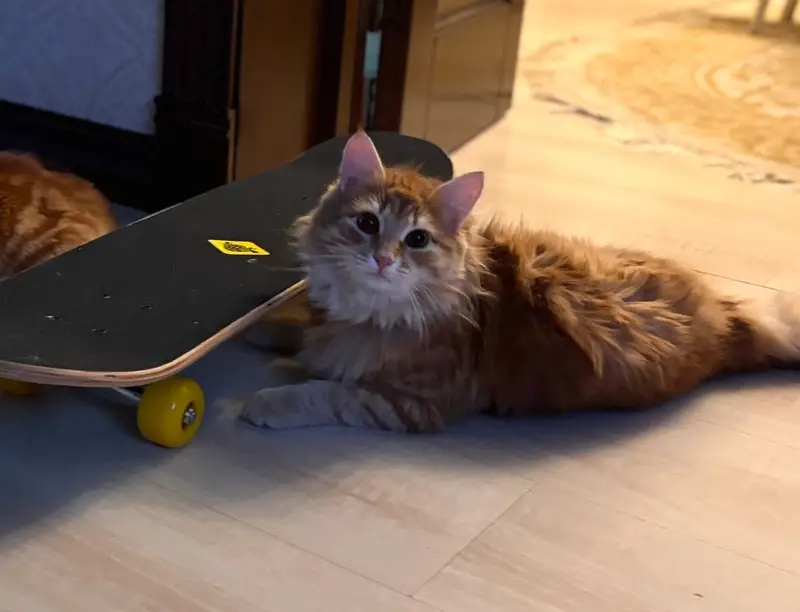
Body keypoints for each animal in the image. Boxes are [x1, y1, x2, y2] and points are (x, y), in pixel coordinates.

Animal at [239, 130, 800, 433]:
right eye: (368, 223)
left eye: (417, 240)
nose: (381, 259)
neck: (371, 310)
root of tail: (729, 321)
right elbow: (303, 327)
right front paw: (266, 327)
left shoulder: (405, 403)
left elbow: (321, 394)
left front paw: (264, 401)